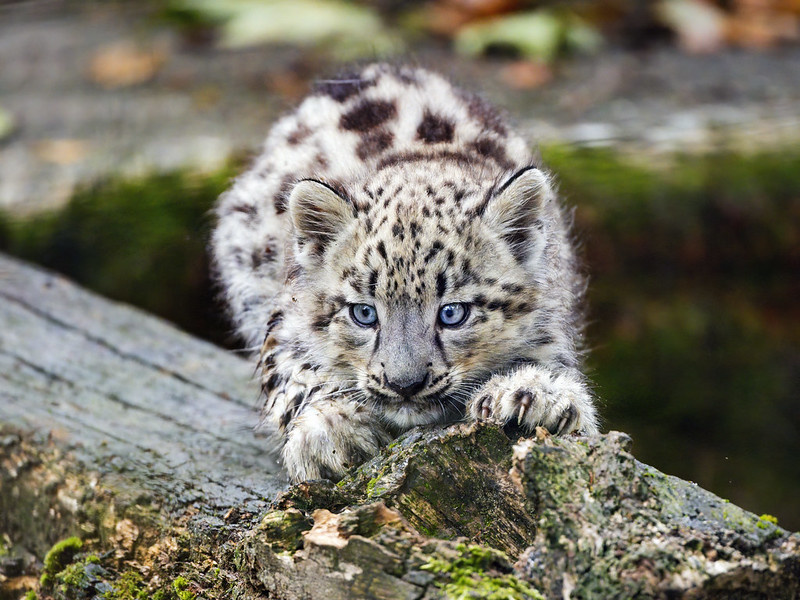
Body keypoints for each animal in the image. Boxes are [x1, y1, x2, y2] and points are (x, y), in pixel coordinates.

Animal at [212, 63, 599, 482]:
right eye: (364, 313)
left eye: (452, 313)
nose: (405, 384)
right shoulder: (284, 324)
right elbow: (292, 373)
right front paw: (332, 434)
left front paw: (534, 395)